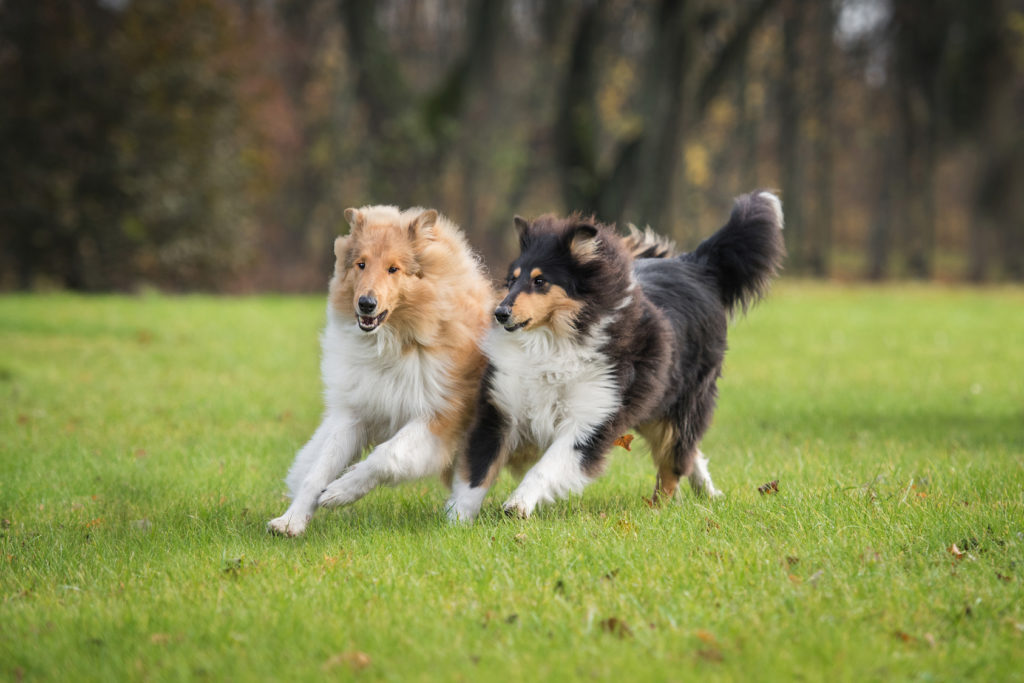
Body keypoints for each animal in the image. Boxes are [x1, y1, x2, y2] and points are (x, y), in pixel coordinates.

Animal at [268, 205, 491, 536]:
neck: (392, 343)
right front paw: (291, 521)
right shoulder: (354, 413)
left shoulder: (439, 418)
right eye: (361, 264)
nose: (366, 304)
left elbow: (386, 455)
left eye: (393, 269)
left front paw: (339, 491)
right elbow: (319, 470)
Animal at [446, 189, 782, 520]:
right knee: (688, 452)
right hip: (650, 401)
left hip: (680, 401)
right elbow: (477, 471)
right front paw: (456, 521)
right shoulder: (502, 410)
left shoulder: (590, 418)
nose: (500, 313)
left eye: (540, 281)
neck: (553, 342)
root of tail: (697, 265)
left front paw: (518, 504)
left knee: (674, 460)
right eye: (512, 279)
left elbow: (547, 466)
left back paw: (659, 509)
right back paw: (708, 492)